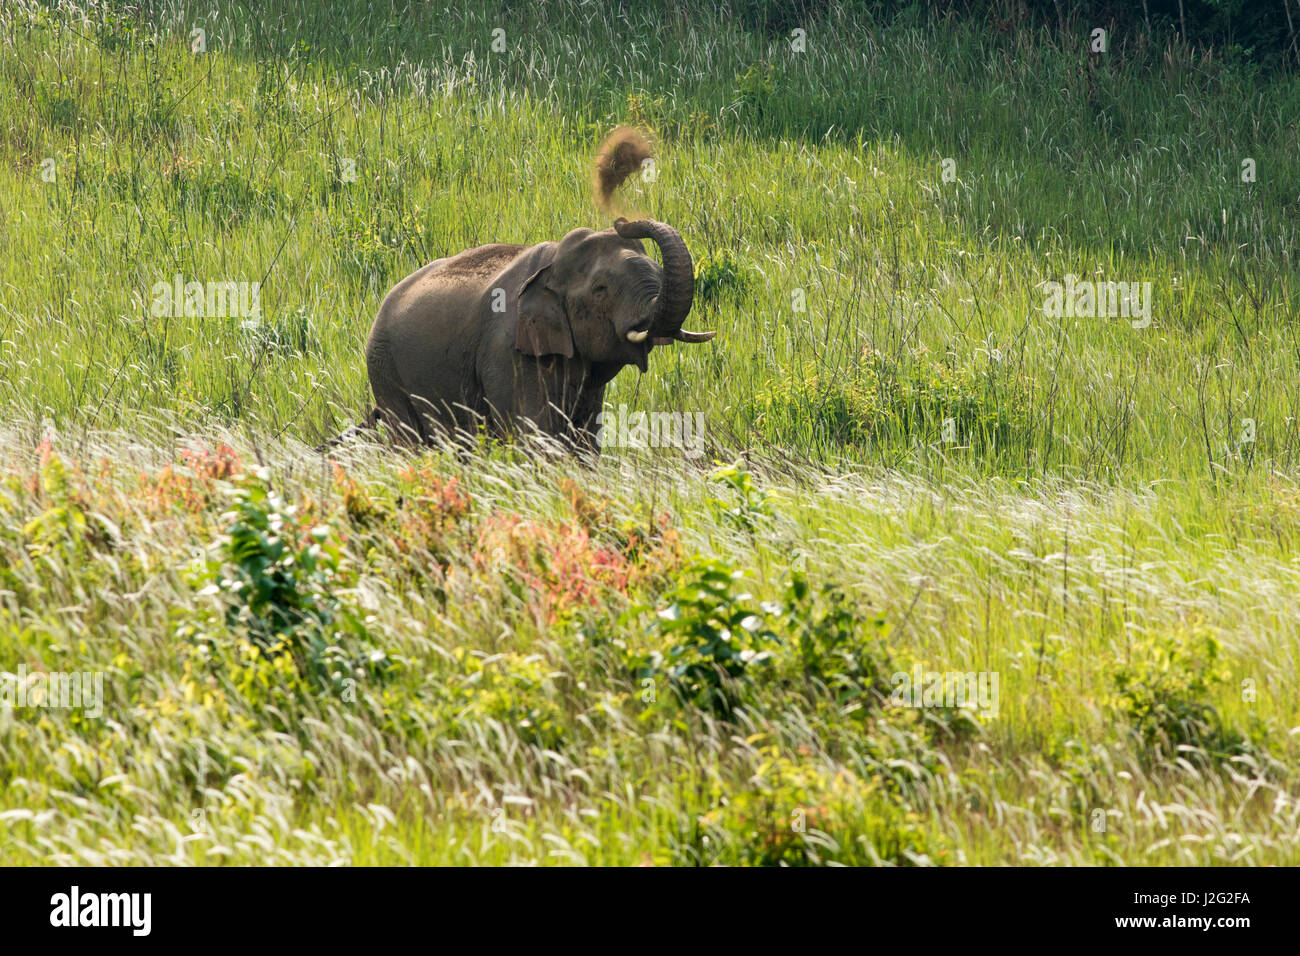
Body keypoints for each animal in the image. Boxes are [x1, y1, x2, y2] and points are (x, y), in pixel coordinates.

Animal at [351, 218, 717, 455]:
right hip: (384, 369)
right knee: (407, 440)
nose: (622, 220)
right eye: (601, 289)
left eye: (657, 273)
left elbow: (585, 433)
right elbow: (533, 431)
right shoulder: (510, 351)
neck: (552, 264)